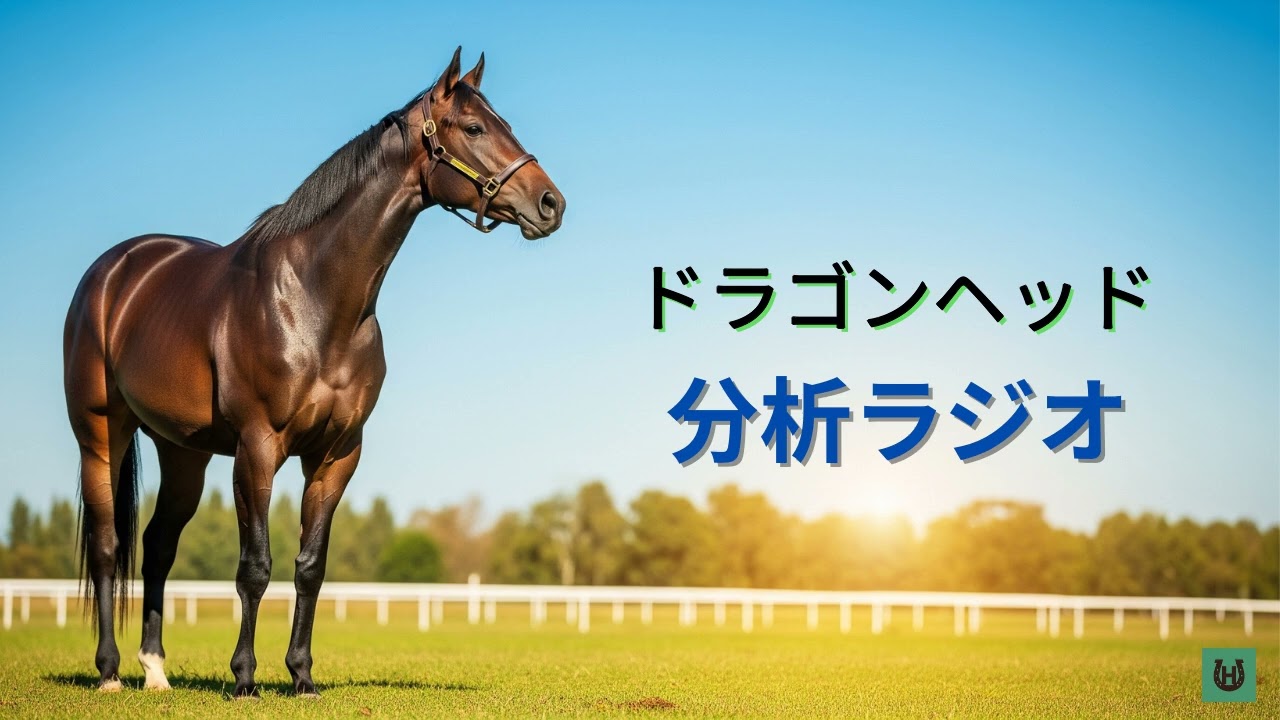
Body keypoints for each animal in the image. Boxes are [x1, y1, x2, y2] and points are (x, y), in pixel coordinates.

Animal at [62, 47, 564, 698]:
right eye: (475, 128)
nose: (551, 203)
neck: (315, 299)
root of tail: (113, 271)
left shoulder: (336, 455)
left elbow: (310, 567)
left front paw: (301, 675)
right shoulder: (257, 449)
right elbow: (255, 568)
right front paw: (245, 678)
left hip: (184, 453)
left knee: (156, 547)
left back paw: (155, 670)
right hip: (101, 435)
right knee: (107, 547)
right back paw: (109, 672)